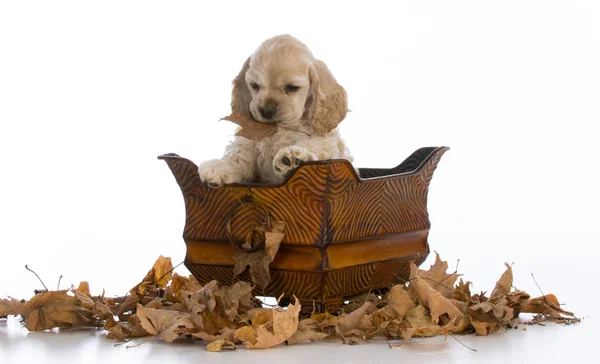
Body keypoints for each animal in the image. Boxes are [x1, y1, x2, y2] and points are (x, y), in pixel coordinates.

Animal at [199, 34, 354, 186]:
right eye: (254, 85)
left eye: (292, 87)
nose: (266, 111)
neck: (277, 128)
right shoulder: (248, 142)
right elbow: (237, 155)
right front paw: (218, 167)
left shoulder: (326, 142)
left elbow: (316, 144)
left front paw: (293, 158)